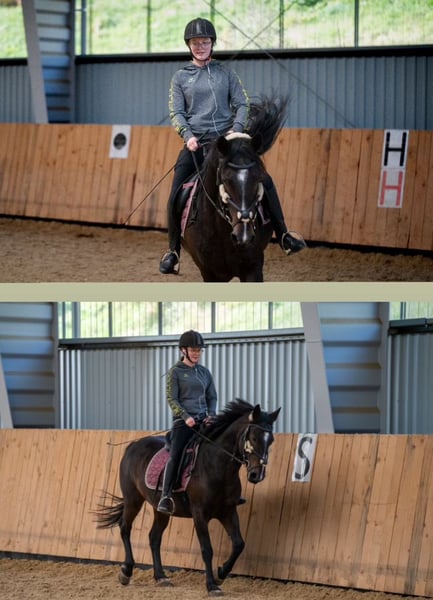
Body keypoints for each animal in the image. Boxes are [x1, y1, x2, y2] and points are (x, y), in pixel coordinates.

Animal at [94, 399, 281, 595]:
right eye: (254, 438)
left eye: (271, 441)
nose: (256, 475)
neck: (216, 466)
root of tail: (133, 446)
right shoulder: (199, 514)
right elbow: (207, 549)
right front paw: (211, 585)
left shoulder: (227, 511)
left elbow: (238, 544)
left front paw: (220, 574)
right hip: (133, 500)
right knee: (125, 528)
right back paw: (126, 571)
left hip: (160, 509)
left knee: (154, 538)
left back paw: (161, 577)